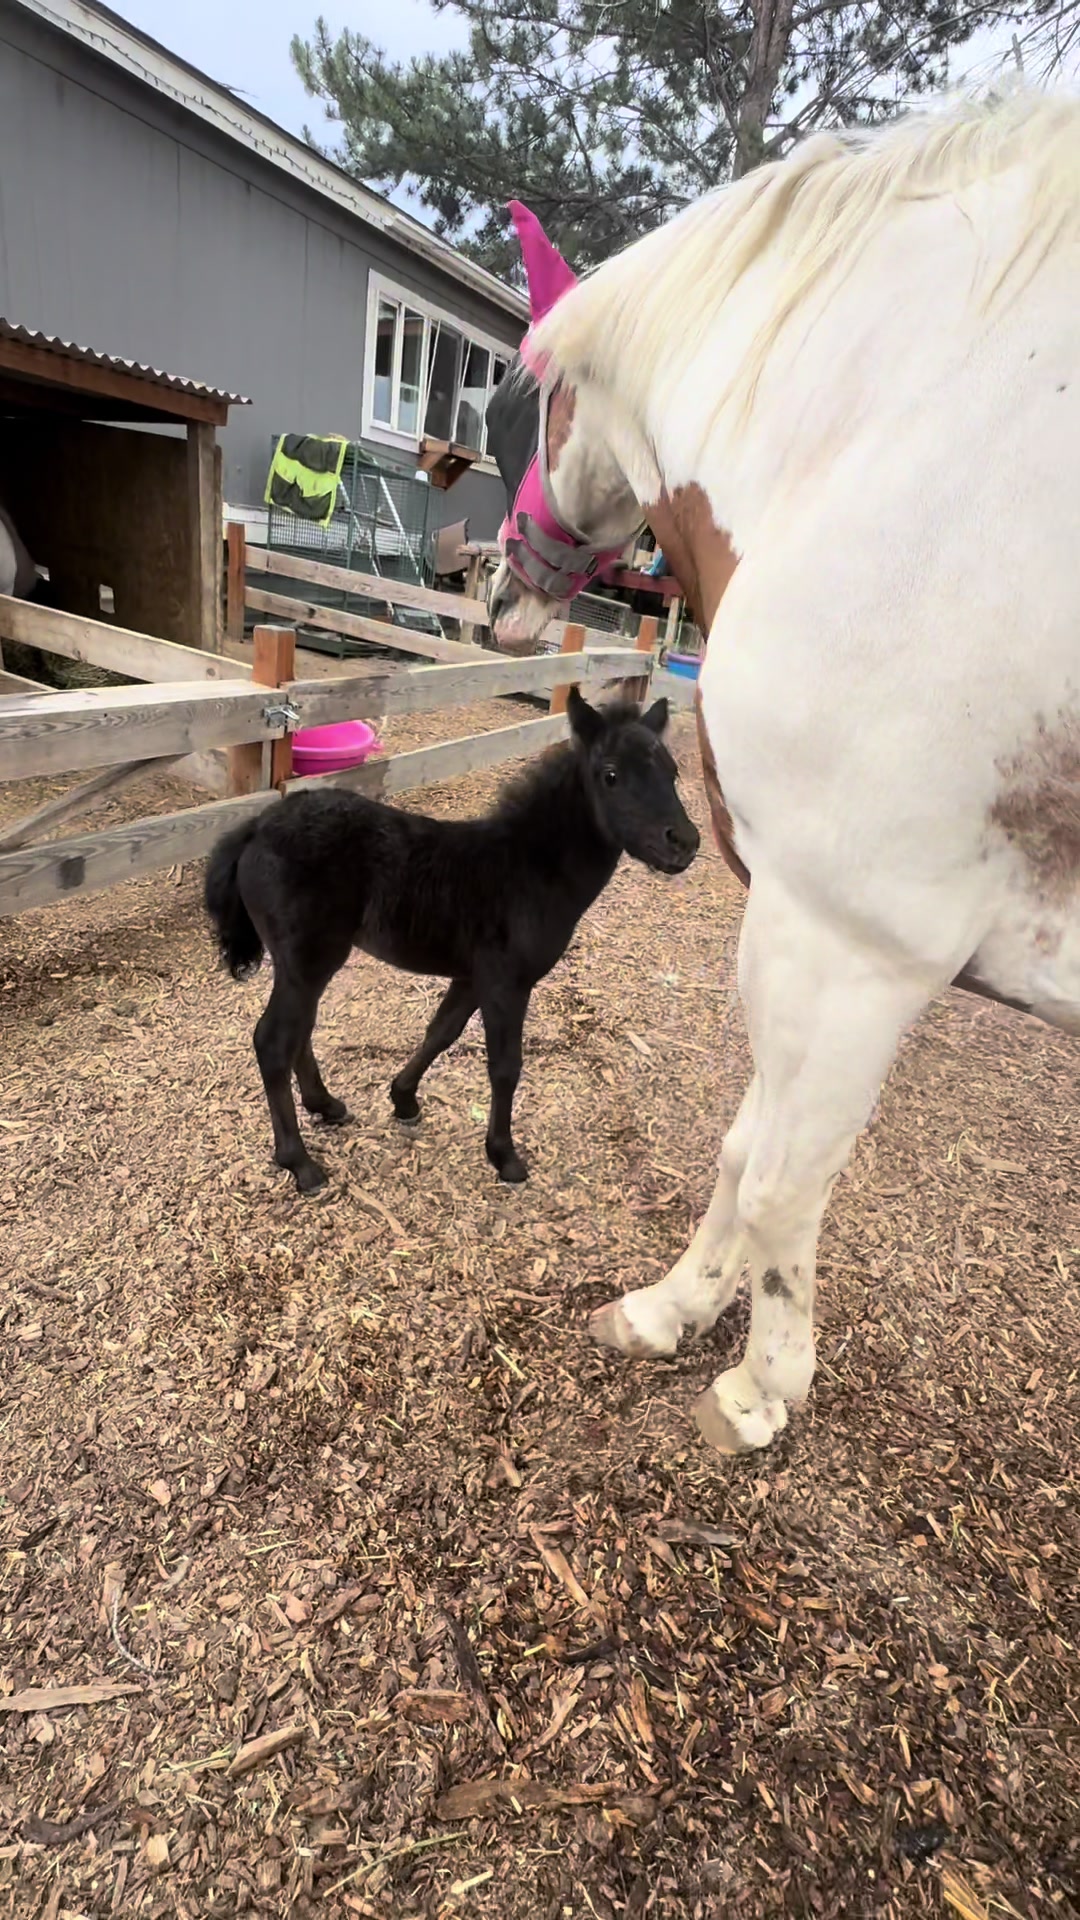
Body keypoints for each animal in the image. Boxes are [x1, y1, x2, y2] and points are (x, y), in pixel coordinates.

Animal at [204, 689, 698, 1195]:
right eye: (611, 775)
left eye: (672, 772)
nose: (684, 842)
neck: (532, 869)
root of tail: (259, 825)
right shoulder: (508, 983)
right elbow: (505, 1065)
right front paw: (504, 1155)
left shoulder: (472, 975)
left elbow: (441, 1032)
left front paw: (403, 1099)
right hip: (308, 959)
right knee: (273, 1041)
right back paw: (298, 1161)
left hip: (305, 964)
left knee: (298, 1030)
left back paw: (325, 1105)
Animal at [485, 91, 1080, 1455]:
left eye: (536, 403)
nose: (495, 580)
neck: (884, 447)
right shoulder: (786, 929)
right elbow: (739, 1148)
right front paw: (669, 1309)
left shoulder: (855, 948)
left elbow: (781, 1185)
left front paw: (761, 1389)